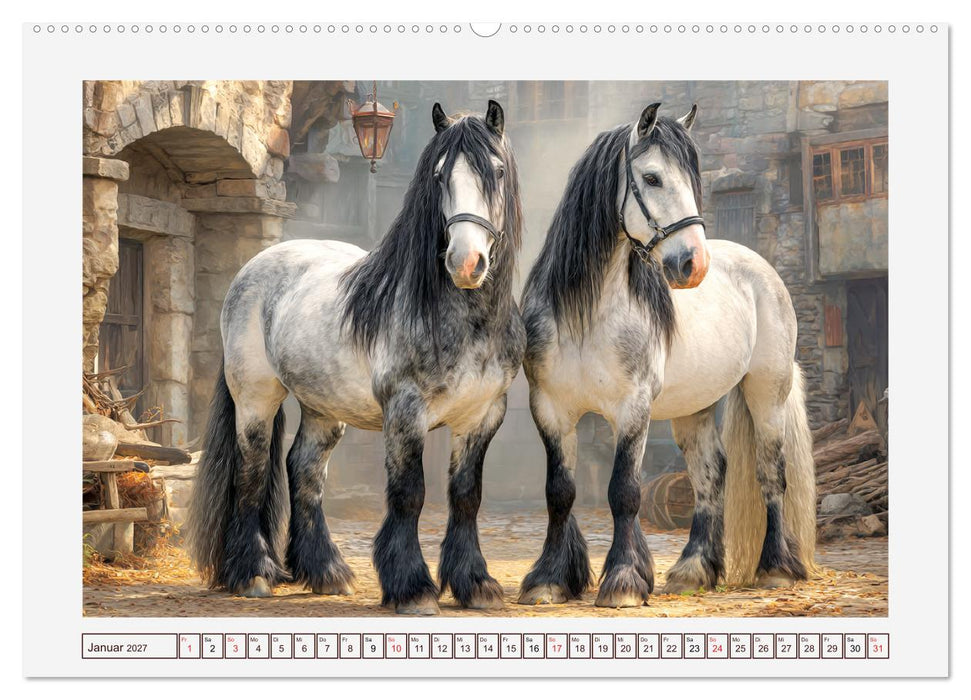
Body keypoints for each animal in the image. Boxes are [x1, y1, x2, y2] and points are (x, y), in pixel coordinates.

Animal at [186, 100, 525, 615]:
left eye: (498, 172)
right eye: (440, 175)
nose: (465, 264)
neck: (464, 321)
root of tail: (253, 268)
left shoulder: (484, 415)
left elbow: (467, 494)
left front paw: (475, 584)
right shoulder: (405, 412)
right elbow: (409, 494)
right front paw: (412, 587)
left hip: (324, 408)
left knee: (304, 471)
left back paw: (327, 572)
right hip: (256, 399)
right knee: (252, 472)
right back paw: (253, 573)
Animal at [517, 103, 816, 608]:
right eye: (653, 178)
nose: (693, 265)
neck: (587, 314)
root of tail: (761, 268)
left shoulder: (633, 408)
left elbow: (624, 492)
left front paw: (623, 581)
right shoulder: (551, 410)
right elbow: (560, 491)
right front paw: (548, 580)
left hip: (767, 393)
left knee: (770, 472)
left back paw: (775, 568)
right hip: (695, 407)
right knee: (710, 475)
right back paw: (692, 571)